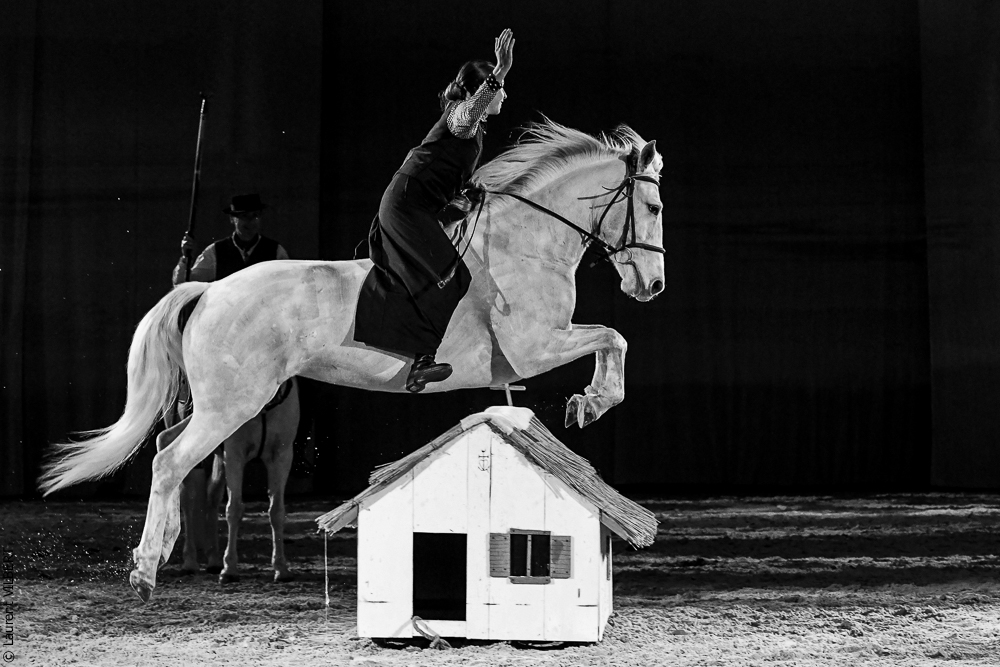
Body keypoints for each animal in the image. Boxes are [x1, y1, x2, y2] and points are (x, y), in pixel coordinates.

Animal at [161, 377, 300, 583]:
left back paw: (213, 560)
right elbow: (233, 509)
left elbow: (276, 511)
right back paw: (190, 561)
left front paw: (281, 568)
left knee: (212, 495)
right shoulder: (234, 454)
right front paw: (229, 569)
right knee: (188, 498)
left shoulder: (281, 456)